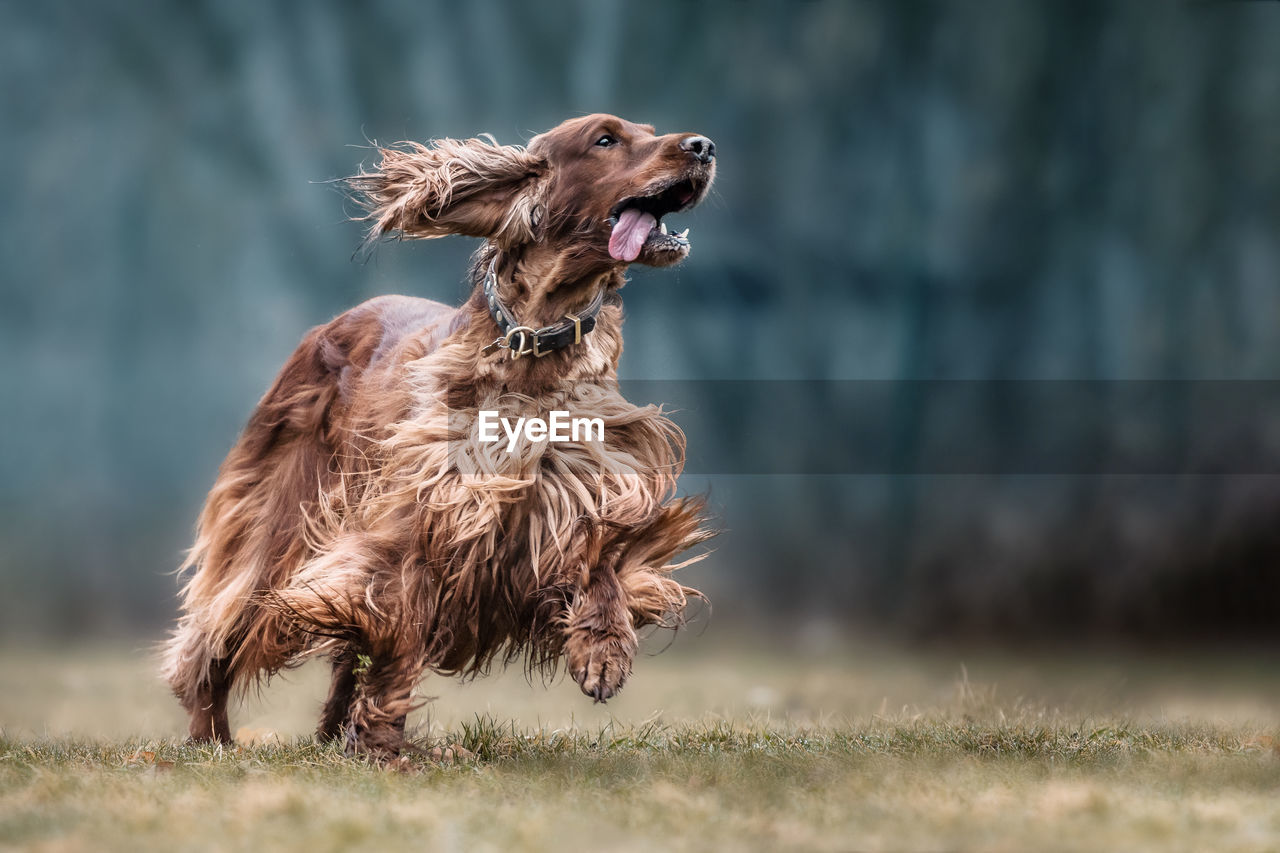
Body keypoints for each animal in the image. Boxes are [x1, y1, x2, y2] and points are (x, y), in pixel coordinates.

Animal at [158, 114, 716, 758]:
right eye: (606, 140)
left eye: (649, 129)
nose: (704, 146)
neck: (535, 350)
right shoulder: (422, 517)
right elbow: (396, 630)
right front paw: (382, 742)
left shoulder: (580, 484)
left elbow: (603, 556)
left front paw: (603, 651)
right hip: (277, 524)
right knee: (220, 630)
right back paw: (213, 736)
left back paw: (334, 732)